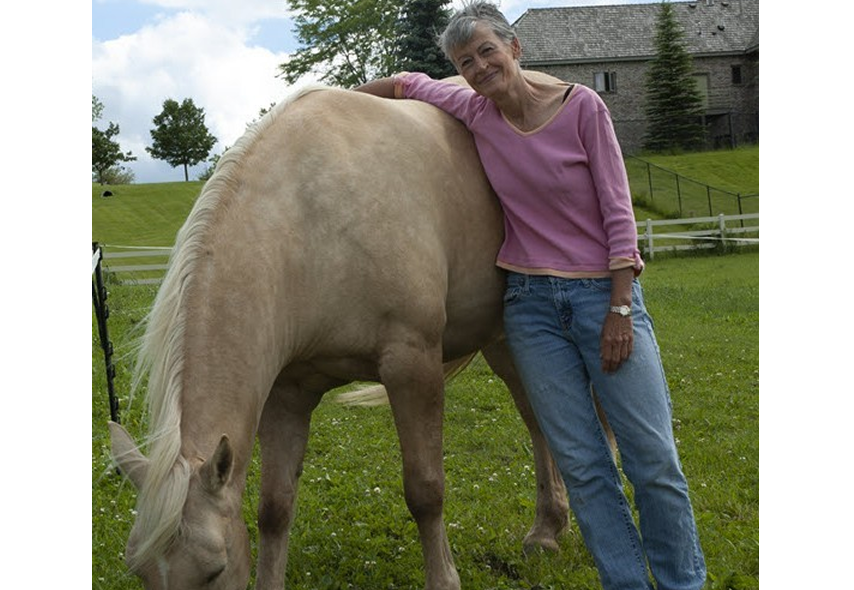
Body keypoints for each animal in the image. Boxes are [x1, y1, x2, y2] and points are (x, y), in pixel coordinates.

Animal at [109, 77, 578, 590]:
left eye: (213, 571)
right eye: (137, 570)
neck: (309, 225)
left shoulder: (412, 364)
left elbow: (426, 490)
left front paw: (444, 578)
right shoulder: (287, 392)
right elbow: (274, 508)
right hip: (501, 341)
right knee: (534, 416)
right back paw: (548, 528)